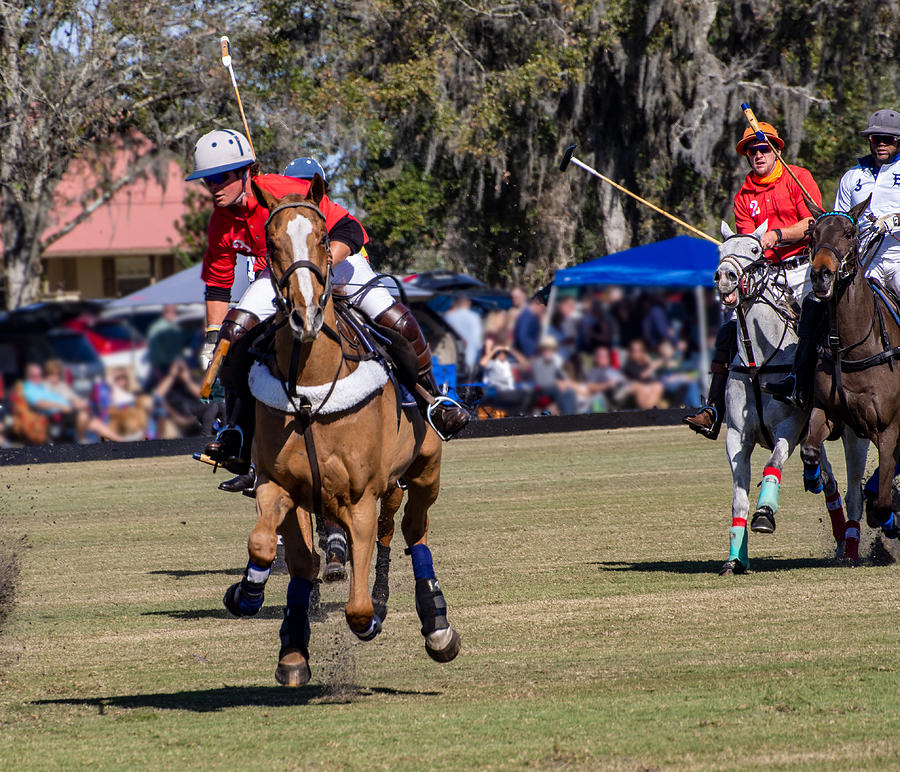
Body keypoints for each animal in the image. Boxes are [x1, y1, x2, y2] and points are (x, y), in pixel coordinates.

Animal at [222, 176, 460, 688]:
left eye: (321, 237)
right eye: (270, 243)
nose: (305, 315)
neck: (310, 390)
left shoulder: (361, 497)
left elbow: (357, 607)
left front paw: (373, 618)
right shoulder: (278, 485)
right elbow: (268, 547)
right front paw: (251, 600)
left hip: (425, 469)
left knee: (414, 531)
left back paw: (437, 626)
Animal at [716, 222, 864, 572]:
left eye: (755, 250)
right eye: (720, 250)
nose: (724, 275)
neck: (757, 361)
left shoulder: (788, 427)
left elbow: (772, 463)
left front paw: (764, 514)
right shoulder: (736, 436)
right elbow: (738, 498)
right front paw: (735, 558)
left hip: (855, 431)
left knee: (853, 492)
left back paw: (852, 547)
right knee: (830, 483)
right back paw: (840, 539)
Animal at [800, 199, 900, 544]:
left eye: (848, 232)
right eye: (812, 233)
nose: (821, 275)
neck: (855, 347)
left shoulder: (889, 427)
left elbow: (882, 499)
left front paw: (888, 520)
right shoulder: (826, 410)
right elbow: (809, 450)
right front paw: (813, 478)